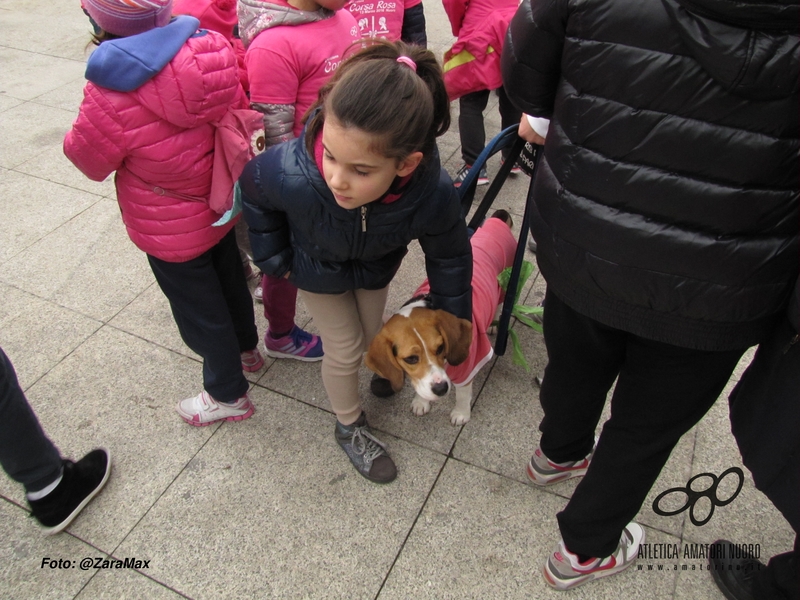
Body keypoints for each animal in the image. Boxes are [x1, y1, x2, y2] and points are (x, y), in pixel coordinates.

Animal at [366, 212, 516, 426]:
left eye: (440, 348)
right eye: (411, 359)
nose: (441, 389)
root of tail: (497, 221)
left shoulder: (468, 366)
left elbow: (463, 393)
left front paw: (461, 413)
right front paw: (421, 401)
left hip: (506, 284)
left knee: (501, 304)